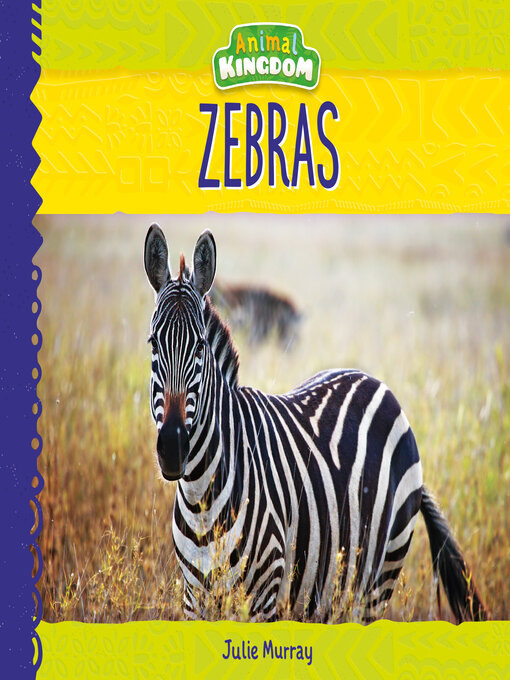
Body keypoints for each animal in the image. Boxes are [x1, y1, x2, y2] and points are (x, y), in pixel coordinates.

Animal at [144, 224, 487, 623]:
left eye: (200, 347)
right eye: (153, 345)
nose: (172, 448)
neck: (201, 495)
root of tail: (372, 380)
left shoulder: (264, 595)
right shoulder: (194, 599)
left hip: (378, 578)